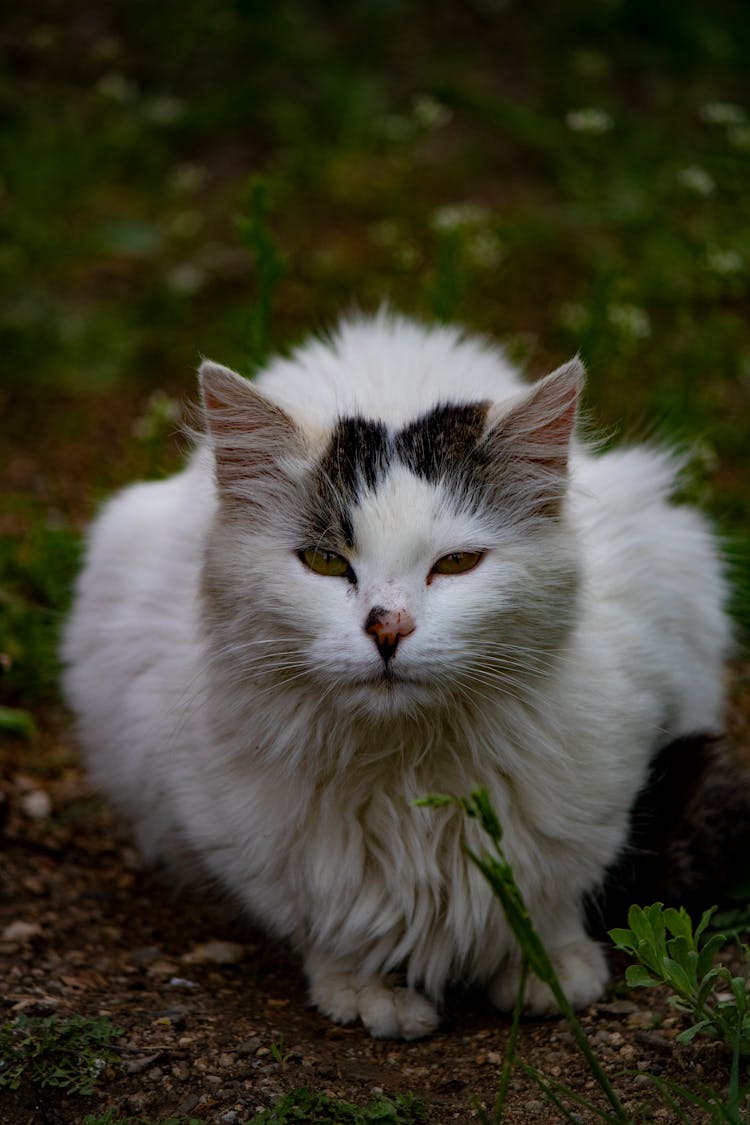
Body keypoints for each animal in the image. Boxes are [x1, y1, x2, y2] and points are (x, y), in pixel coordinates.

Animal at [61, 308, 728, 1035]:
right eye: (325, 561)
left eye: (457, 563)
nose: (388, 628)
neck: (409, 770)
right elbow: (334, 921)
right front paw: (366, 991)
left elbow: (551, 898)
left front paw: (547, 968)